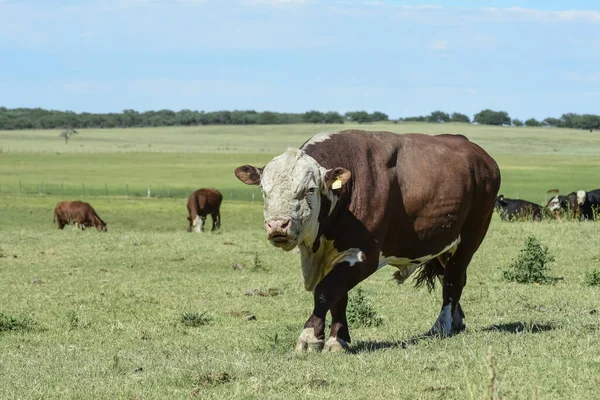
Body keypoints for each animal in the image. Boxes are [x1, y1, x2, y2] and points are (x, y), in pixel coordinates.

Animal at [234, 130, 502, 352]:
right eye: (264, 190)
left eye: (309, 189)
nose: (277, 225)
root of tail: (480, 156)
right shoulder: (331, 258)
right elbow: (338, 297)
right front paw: (338, 338)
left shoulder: (364, 255)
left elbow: (325, 291)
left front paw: (310, 337)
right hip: (439, 244)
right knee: (455, 278)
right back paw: (457, 321)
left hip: (469, 238)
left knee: (452, 281)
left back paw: (441, 325)